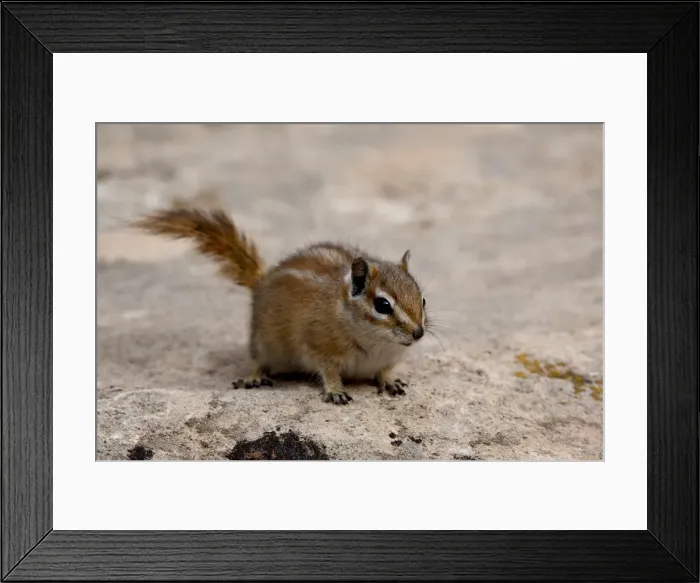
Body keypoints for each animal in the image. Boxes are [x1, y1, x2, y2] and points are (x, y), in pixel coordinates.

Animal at [132, 206, 428, 405]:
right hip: (264, 342)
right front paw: (335, 390)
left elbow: (384, 371)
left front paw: (390, 382)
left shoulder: (388, 359)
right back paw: (254, 376)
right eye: (382, 305)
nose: (419, 333)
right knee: (260, 361)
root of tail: (262, 281)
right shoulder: (317, 345)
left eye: (422, 299)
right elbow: (328, 370)